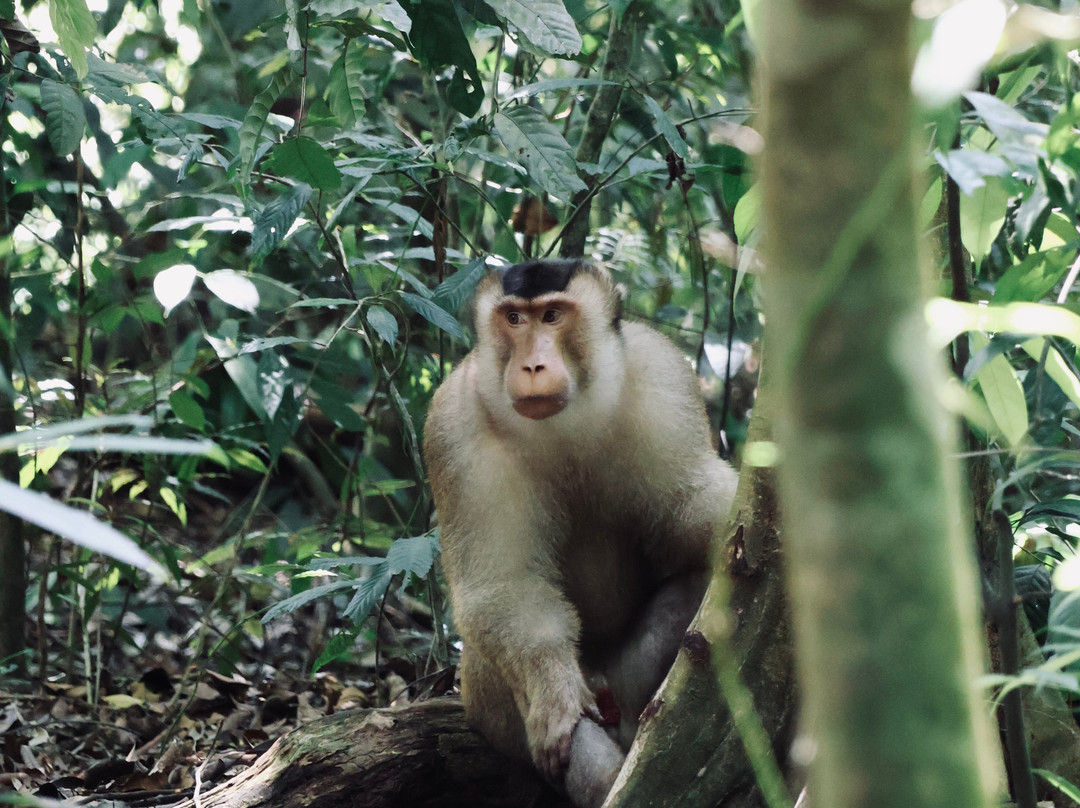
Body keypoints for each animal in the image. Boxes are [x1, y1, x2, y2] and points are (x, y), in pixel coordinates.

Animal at [422, 259, 738, 808]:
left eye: (552, 315)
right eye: (514, 319)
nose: (532, 366)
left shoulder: (662, 375)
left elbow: (687, 508)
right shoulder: (454, 425)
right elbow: (502, 584)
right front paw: (555, 694)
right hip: (491, 709)